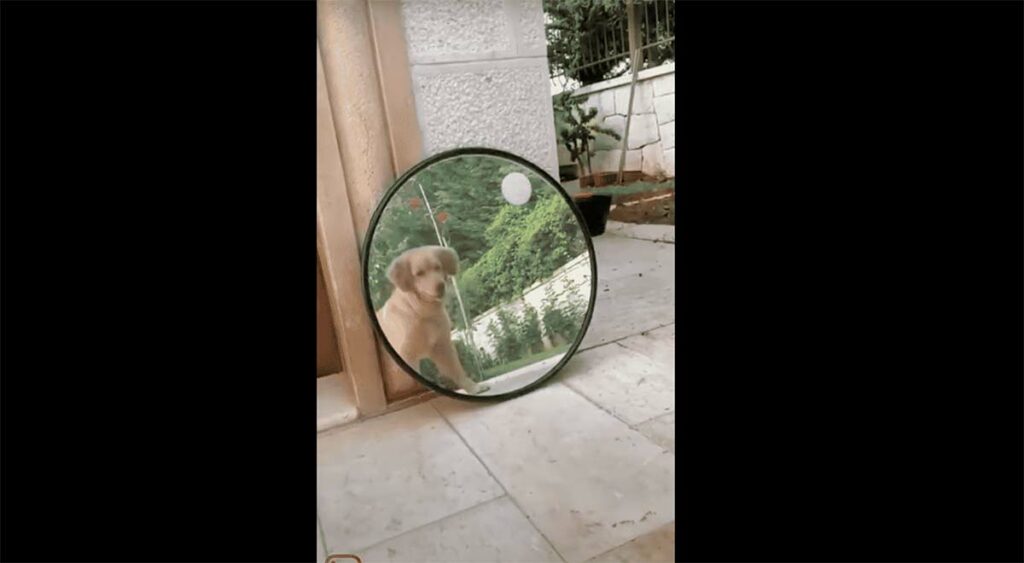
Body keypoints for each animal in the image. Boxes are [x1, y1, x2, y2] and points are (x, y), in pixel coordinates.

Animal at [376, 244, 487, 395]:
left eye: (437, 267)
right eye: (419, 273)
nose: (440, 286)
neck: (420, 312)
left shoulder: (441, 346)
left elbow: (457, 371)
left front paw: (474, 388)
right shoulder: (406, 356)